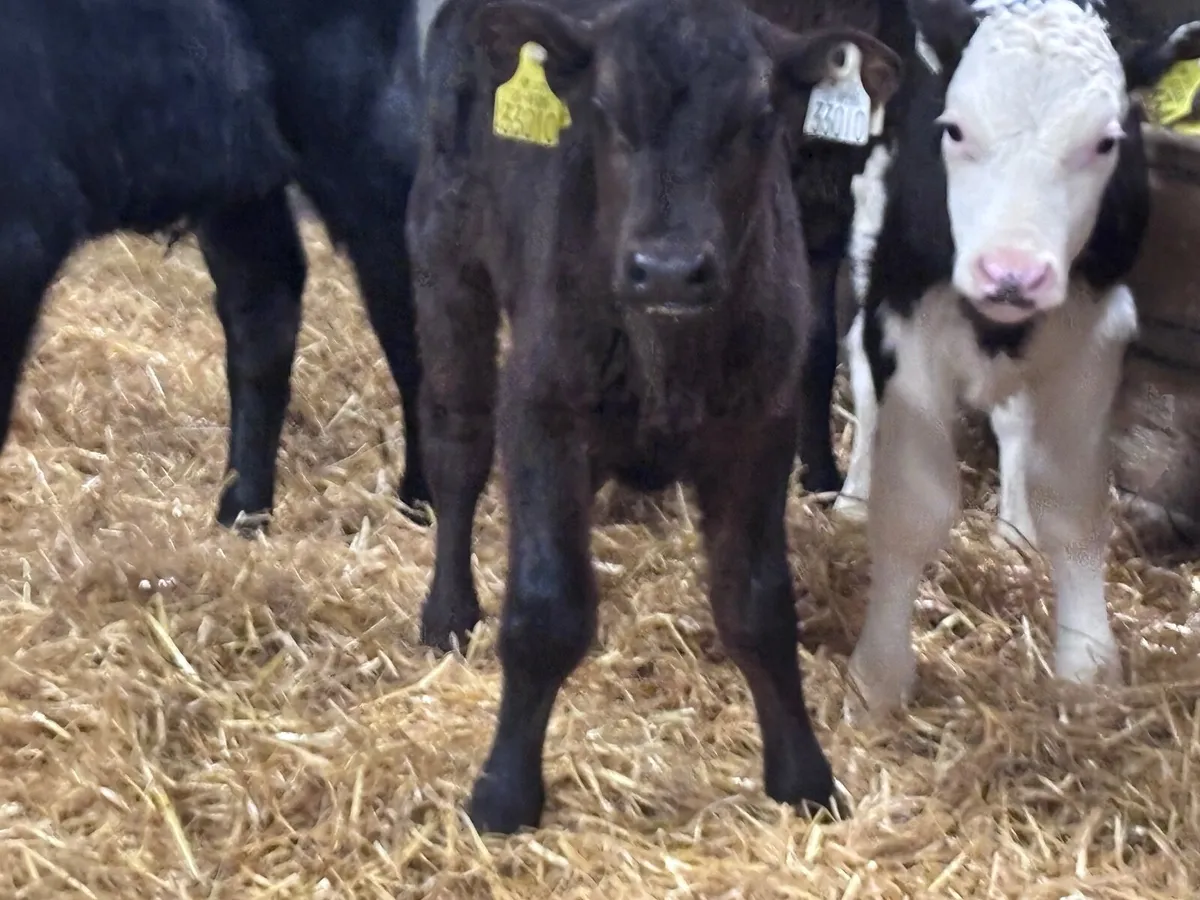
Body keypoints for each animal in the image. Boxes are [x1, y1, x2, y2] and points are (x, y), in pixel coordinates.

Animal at [0, 0, 432, 532]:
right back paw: (242, 513)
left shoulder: (22, 227)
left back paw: (420, 502)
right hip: (237, 161)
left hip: (357, 120)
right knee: (265, 301)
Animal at [407, 0, 902, 833]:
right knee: (455, 446)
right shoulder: (541, 409)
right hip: (446, 259)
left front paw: (803, 776)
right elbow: (545, 608)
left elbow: (759, 606)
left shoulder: (760, 427)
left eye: (760, 119)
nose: (668, 269)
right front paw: (504, 792)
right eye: (604, 113)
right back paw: (448, 612)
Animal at [827, 0, 1200, 721]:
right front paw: (878, 678)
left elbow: (1074, 505)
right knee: (858, 366)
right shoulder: (903, 314)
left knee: (1015, 422)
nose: (1012, 274)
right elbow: (912, 507)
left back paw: (1015, 528)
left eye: (1107, 142)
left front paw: (1088, 664)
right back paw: (853, 496)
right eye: (953, 128)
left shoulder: (1097, 326)